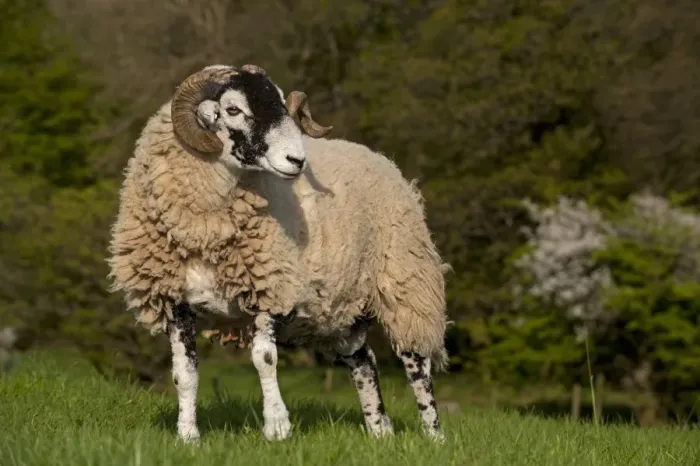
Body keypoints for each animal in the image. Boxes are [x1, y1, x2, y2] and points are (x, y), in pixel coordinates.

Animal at [107, 64, 450, 443]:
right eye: (232, 109)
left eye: (283, 104)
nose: (297, 160)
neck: (206, 232)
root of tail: (381, 159)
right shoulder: (176, 301)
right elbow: (185, 373)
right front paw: (187, 436)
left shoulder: (270, 288)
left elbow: (265, 358)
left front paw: (276, 428)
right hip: (347, 307)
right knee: (364, 362)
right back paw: (379, 432)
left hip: (407, 282)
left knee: (417, 363)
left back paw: (434, 437)